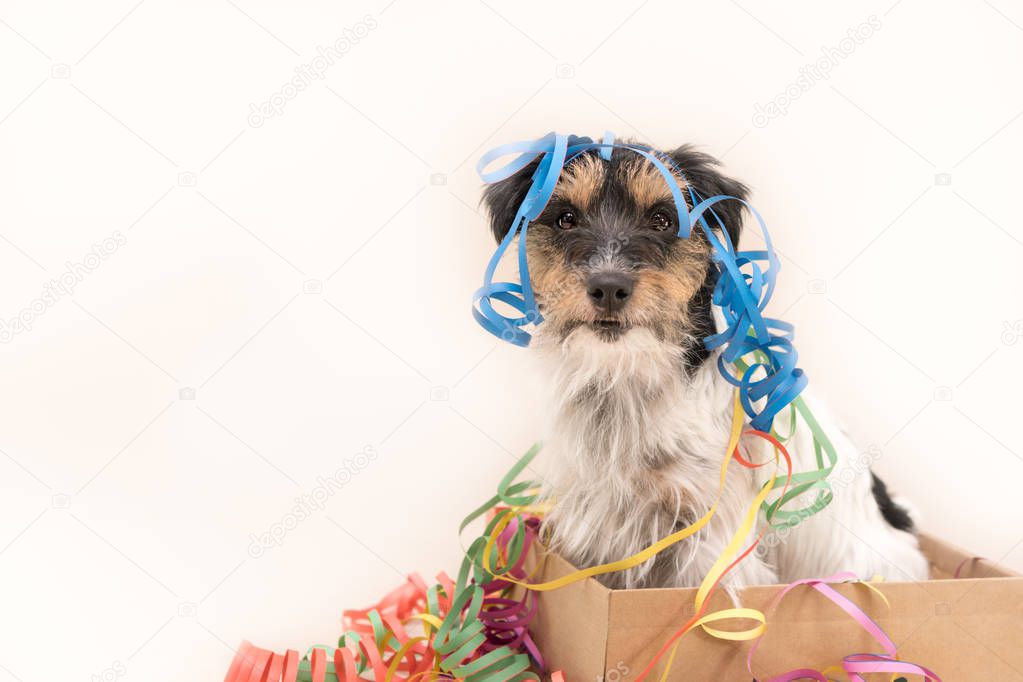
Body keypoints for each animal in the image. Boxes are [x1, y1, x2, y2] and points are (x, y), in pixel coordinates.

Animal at [478, 140, 928, 593]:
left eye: (662, 219)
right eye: (566, 218)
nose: (608, 286)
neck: (630, 373)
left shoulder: (712, 538)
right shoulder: (596, 522)